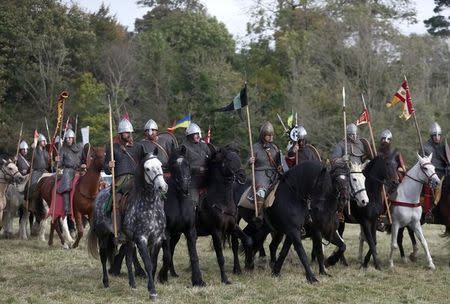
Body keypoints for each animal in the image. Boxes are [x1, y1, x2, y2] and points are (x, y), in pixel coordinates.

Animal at [87, 148, 167, 300]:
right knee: (103, 257)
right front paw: (152, 291)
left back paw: (132, 284)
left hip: (128, 240)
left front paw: (150, 286)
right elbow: (148, 264)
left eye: (160, 165)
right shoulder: (141, 239)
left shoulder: (157, 239)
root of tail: (99, 195)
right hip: (103, 236)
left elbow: (153, 263)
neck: (149, 206)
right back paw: (106, 282)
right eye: (147, 168)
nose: (162, 187)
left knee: (129, 259)